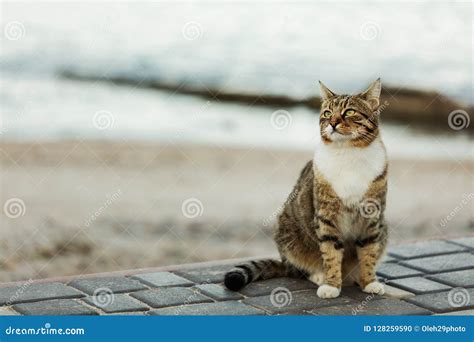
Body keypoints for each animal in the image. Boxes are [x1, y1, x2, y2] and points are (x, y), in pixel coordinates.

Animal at [224, 79, 386, 298]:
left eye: (350, 112)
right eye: (327, 113)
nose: (332, 123)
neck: (348, 153)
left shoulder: (372, 217)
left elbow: (369, 252)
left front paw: (369, 281)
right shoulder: (326, 216)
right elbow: (330, 252)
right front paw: (331, 284)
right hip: (288, 234)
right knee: (298, 269)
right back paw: (319, 275)